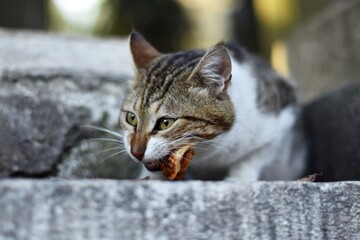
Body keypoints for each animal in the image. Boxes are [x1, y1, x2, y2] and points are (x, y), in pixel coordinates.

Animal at [119, 32, 306, 182]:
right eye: (131, 118)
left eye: (165, 122)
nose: (136, 152)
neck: (211, 154)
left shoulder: (281, 121)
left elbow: (254, 156)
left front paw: (238, 178)